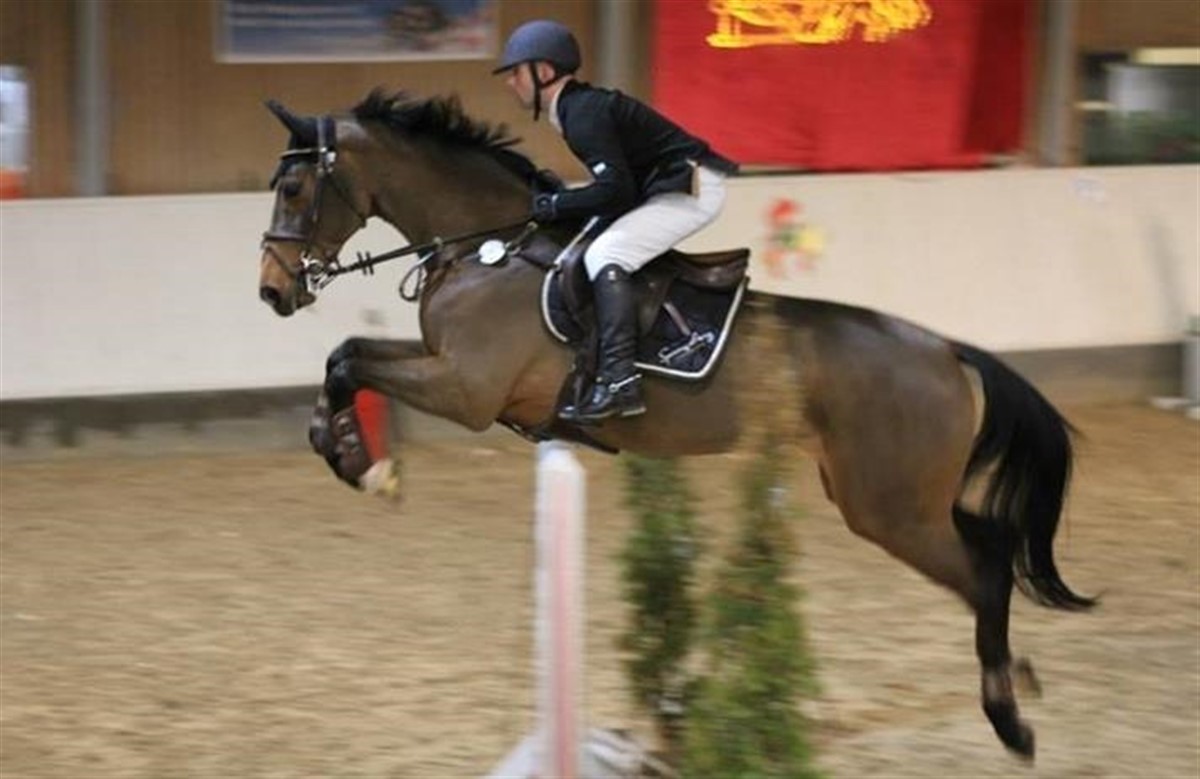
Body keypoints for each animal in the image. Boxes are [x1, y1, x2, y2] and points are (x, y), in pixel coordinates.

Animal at [256, 89, 1094, 760]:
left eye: (294, 186)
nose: (271, 291)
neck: (485, 247)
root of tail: (949, 351)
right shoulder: (447, 369)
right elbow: (346, 353)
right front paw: (350, 450)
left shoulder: (465, 388)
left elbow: (348, 361)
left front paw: (360, 461)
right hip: (894, 496)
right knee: (994, 547)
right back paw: (1015, 677)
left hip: (888, 508)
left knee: (984, 570)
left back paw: (1009, 721)